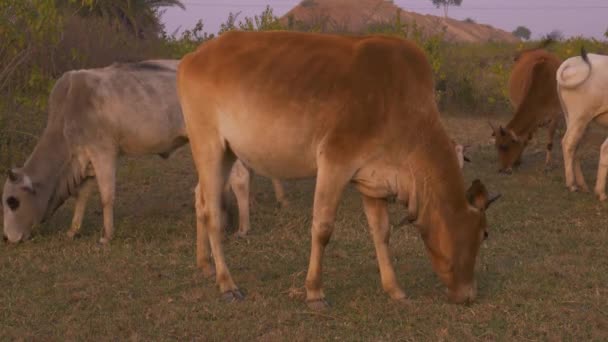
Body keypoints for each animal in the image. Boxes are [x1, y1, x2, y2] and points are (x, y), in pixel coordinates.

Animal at [0, 60, 284, 243]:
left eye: (12, 201)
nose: (8, 238)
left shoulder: (103, 152)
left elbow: (106, 196)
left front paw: (106, 236)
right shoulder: (85, 160)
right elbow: (82, 195)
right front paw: (74, 230)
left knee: (240, 179)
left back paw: (243, 228)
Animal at [176, 31, 498, 308]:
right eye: (484, 234)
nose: (469, 295)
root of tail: (193, 57)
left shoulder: (374, 181)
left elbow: (381, 232)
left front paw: (394, 289)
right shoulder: (334, 162)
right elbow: (323, 228)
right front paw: (314, 292)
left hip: (226, 153)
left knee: (201, 201)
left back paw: (205, 265)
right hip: (208, 146)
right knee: (212, 212)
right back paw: (227, 284)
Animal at [486, 44, 564, 174]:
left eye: (505, 146)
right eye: (496, 146)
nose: (502, 169)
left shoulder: (556, 115)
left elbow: (549, 142)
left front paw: (548, 164)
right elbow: (526, 138)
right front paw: (518, 160)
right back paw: (536, 145)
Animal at [556, 46, 608, 199]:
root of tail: (572, 61)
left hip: (574, 119)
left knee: (575, 147)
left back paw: (583, 185)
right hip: (580, 117)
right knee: (568, 143)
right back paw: (572, 184)